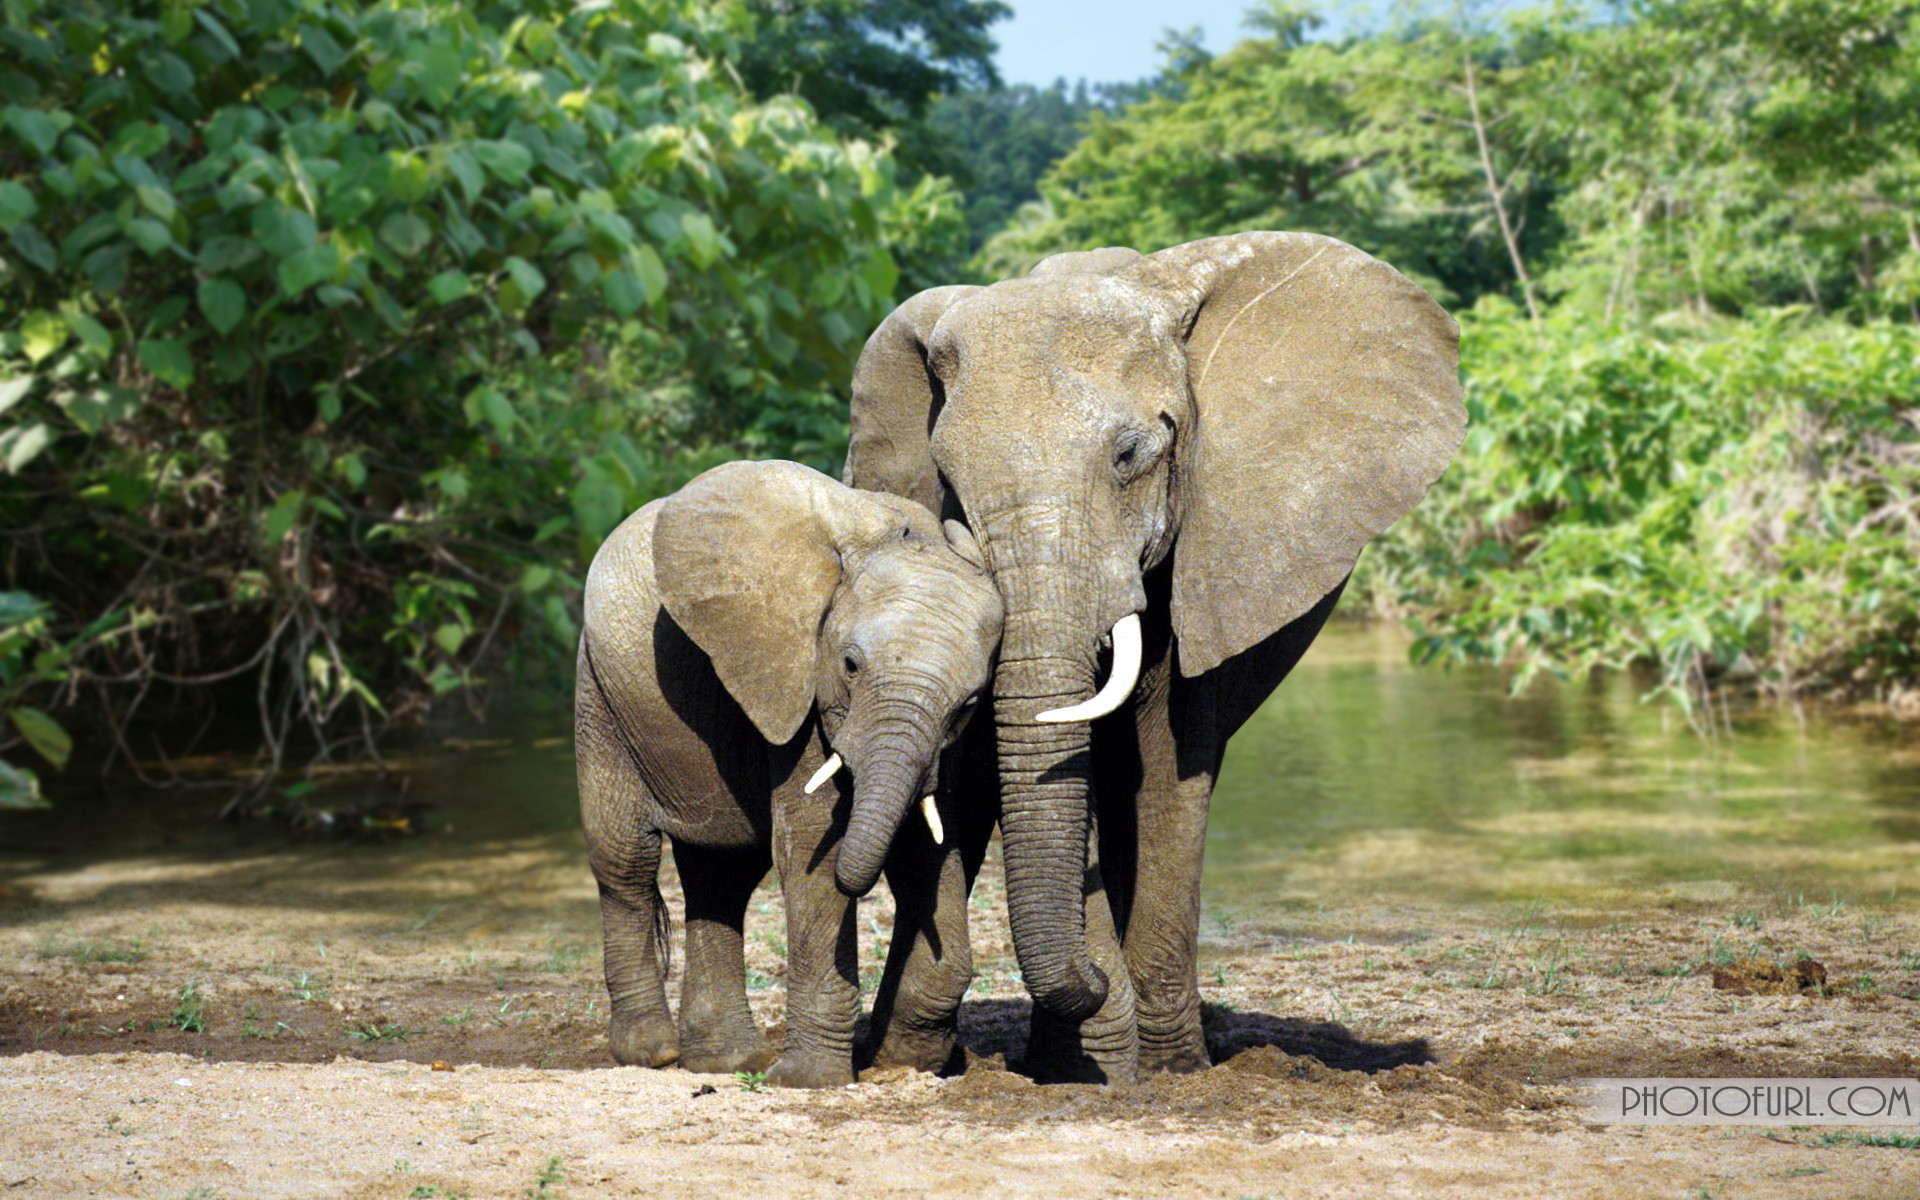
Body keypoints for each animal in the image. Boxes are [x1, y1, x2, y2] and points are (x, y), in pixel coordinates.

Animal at [575, 459, 1003, 1088]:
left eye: (971, 702)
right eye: (849, 665)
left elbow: (926, 845)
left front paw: (907, 1062)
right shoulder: (796, 684)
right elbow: (811, 847)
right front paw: (809, 1081)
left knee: (721, 876)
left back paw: (726, 1062)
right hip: (600, 699)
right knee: (625, 861)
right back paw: (654, 1053)